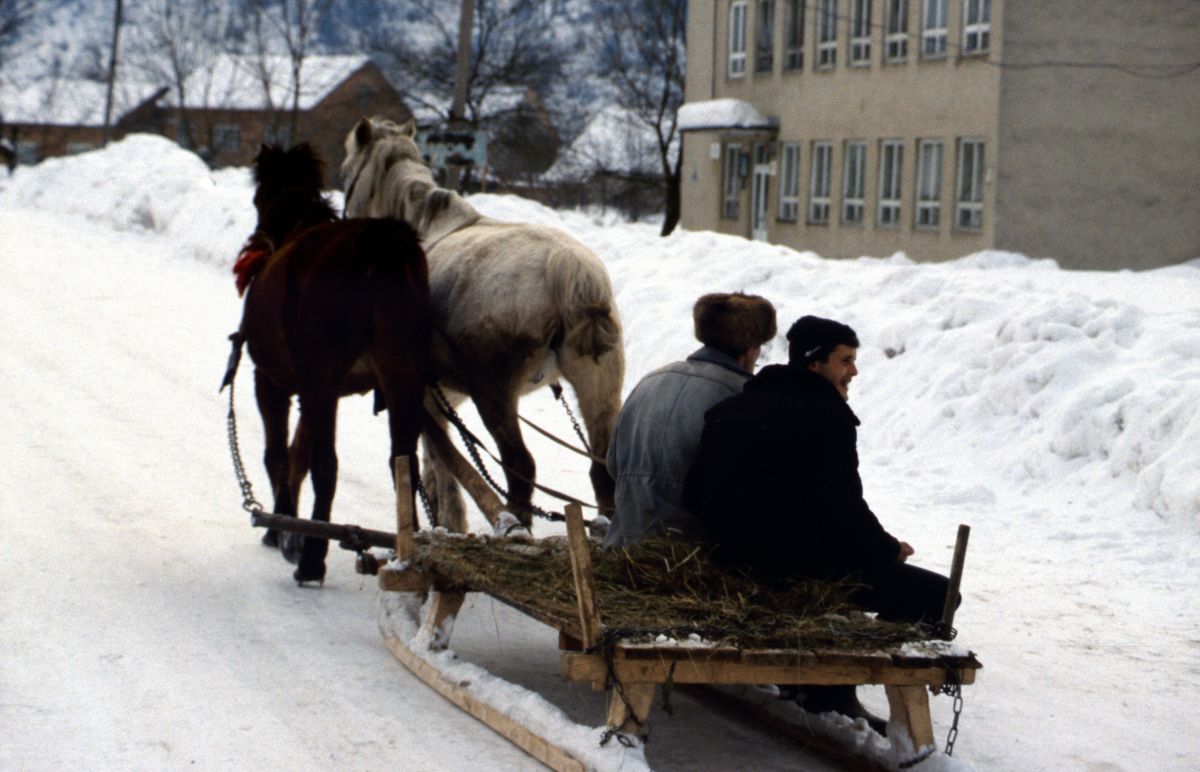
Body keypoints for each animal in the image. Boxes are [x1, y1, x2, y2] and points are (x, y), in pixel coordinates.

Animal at [234, 143, 432, 585]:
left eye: (256, 197)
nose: (255, 241)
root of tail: (378, 245)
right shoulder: (320, 389)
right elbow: (299, 452)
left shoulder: (274, 381)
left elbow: (280, 454)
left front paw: (281, 529)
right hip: (402, 380)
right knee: (403, 464)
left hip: (320, 378)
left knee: (328, 467)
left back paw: (311, 558)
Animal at [336, 117, 624, 530]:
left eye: (345, 173)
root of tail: (567, 268)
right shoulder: (441, 394)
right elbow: (439, 453)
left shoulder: (424, 392)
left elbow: (440, 457)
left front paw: (446, 520)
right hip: (598, 388)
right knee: (602, 472)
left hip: (495, 395)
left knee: (520, 468)